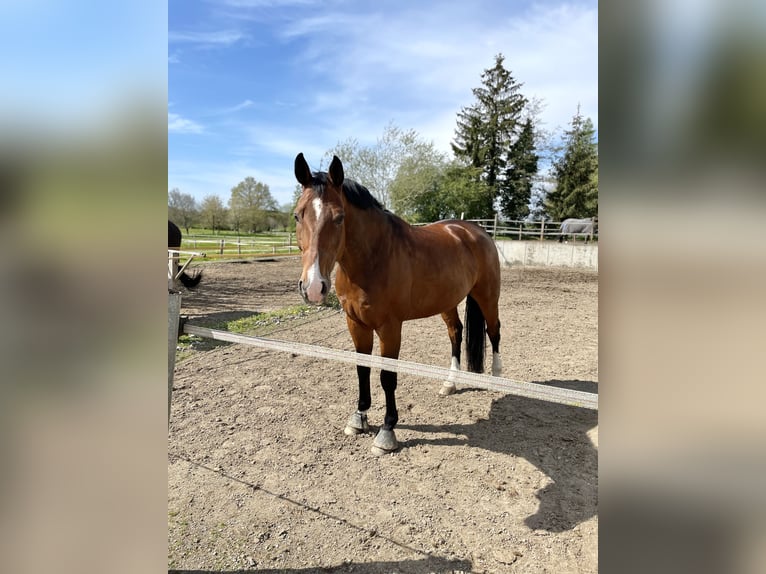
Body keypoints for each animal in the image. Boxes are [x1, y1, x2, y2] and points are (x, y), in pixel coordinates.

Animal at [294, 154, 504, 460]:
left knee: (494, 331)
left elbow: (387, 376)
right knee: (456, 332)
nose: (312, 287)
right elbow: (362, 369)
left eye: (339, 217)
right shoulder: (355, 323)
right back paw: (449, 384)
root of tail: (475, 230)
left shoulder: (390, 327)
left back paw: (498, 378)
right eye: (298, 215)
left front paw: (387, 431)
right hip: (448, 301)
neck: (373, 257)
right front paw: (359, 418)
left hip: (487, 296)